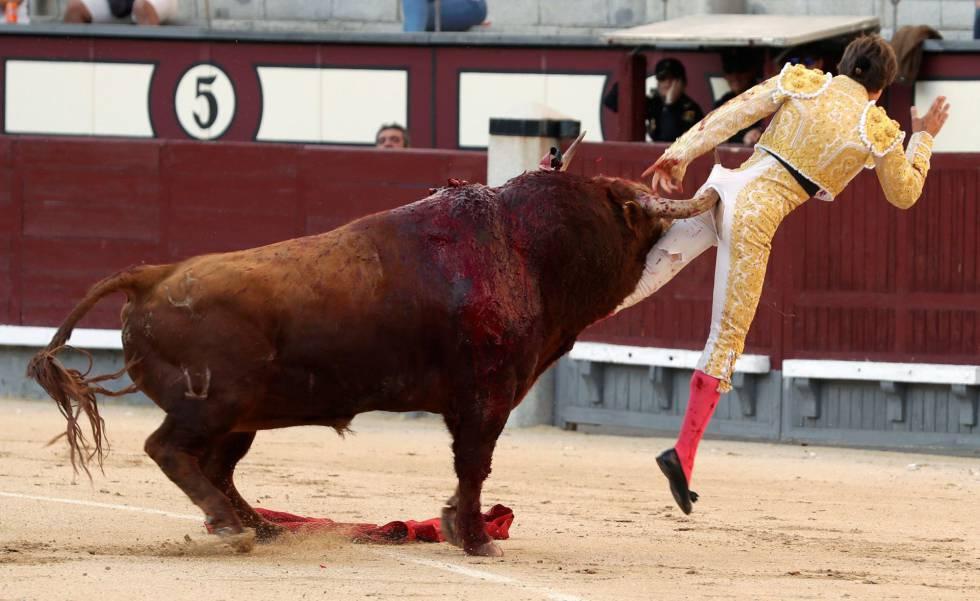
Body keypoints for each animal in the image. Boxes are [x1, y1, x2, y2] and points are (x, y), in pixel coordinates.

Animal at [26, 168, 716, 552]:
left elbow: (471, 469)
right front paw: (474, 540)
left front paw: (458, 529)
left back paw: (262, 527)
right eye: (631, 216)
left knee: (216, 466)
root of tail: (153, 275)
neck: (529, 249)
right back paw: (232, 527)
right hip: (215, 403)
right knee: (169, 450)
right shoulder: (484, 398)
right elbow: (475, 467)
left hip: (241, 416)